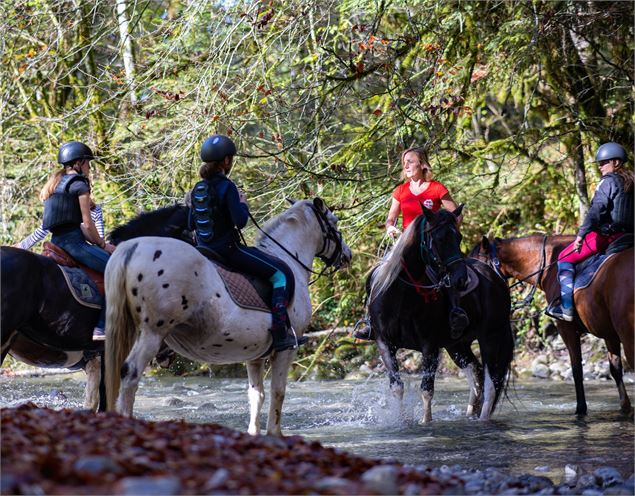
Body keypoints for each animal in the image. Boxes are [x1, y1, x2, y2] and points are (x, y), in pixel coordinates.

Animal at [105, 200, 352, 436]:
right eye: (334, 222)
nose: (347, 255)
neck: (287, 257)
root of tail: (133, 247)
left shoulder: (255, 356)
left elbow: (256, 395)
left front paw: (254, 432)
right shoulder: (287, 349)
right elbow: (278, 392)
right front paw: (274, 432)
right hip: (153, 333)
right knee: (130, 374)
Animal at [470, 235, 632, 414]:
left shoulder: (566, 329)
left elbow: (577, 370)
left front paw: (580, 409)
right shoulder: (609, 333)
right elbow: (615, 369)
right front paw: (625, 406)